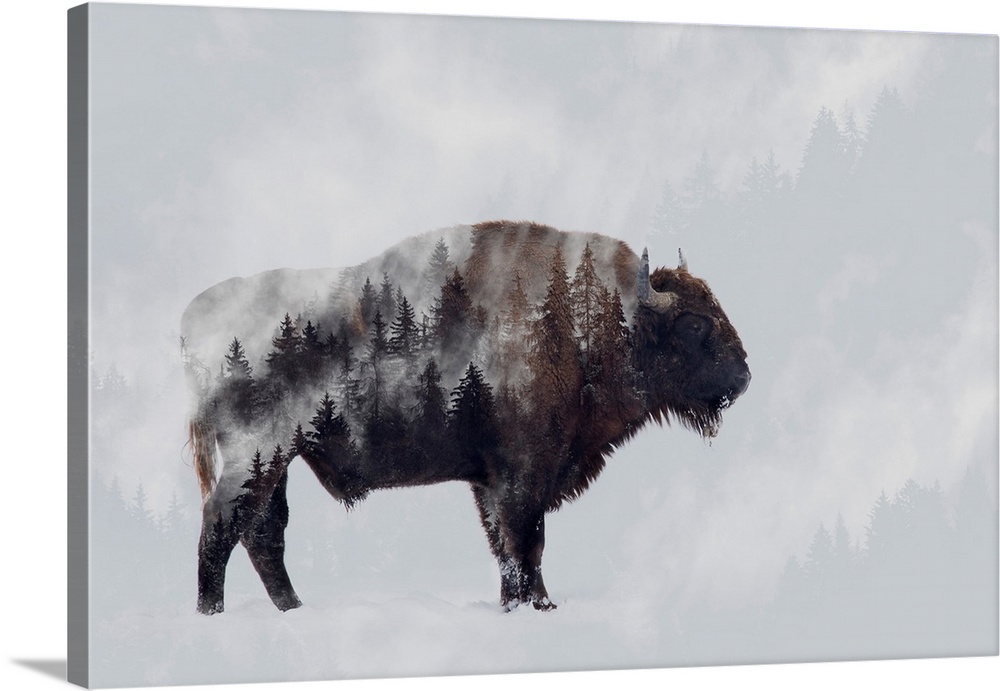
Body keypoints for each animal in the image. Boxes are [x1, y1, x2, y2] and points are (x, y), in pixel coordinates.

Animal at [182, 221, 750, 613]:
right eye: (694, 323)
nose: (743, 377)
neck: (590, 315)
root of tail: (194, 316)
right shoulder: (522, 474)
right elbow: (525, 544)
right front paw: (538, 607)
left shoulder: (489, 479)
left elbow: (505, 546)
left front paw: (523, 604)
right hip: (257, 454)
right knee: (222, 528)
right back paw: (214, 614)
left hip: (276, 461)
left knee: (262, 533)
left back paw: (294, 610)